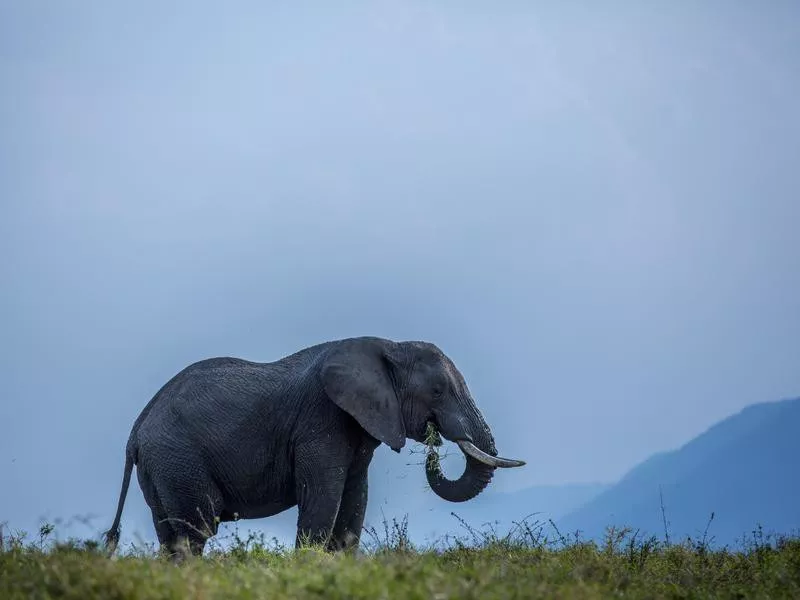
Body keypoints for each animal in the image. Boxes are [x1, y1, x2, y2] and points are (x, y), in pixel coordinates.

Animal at [104, 336, 524, 556]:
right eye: (437, 391)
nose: (435, 448)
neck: (388, 346)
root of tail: (135, 431)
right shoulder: (321, 422)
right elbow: (323, 498)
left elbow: (355, 499)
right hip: (178, 460)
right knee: (196, 532)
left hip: (163, 467)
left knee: (173, 537)